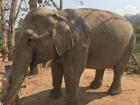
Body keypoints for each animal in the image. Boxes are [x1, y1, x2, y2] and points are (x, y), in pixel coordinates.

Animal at [2, 7, 136, 105]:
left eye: (30, 39)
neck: (58, 14)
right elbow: (56, 68)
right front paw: (53, 96)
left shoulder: (79, 42)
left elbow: (72, 71)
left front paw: (71, 103)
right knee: (101, 65)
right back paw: (93, 86)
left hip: (129, 44)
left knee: (119, 68)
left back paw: (113, 92)